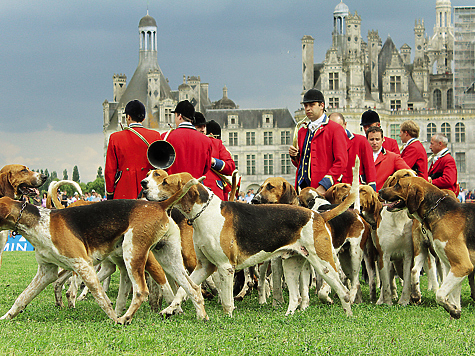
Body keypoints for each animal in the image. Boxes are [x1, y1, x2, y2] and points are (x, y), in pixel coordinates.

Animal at [0, 177, 206, 324]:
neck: (40, 222)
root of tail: (160, 204)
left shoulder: (83, 265)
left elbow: (101, 298)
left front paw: (114, 318)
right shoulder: (46, 272)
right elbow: (22, 298)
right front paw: (6, 318)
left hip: (133, 254)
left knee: (141, 291)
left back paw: (125, 319)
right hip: (168, 258)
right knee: (193, 288)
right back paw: (201, 316)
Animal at [141, 159, 360, 318]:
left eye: (165, 182)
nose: (144, 188)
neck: (204, 212)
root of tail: (318, 215)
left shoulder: (225, 267)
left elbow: (226, 300)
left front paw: (227, 318)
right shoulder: (204, 266)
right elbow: (185, 289)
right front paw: (170, 309)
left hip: (324, 264)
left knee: (343, 289)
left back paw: (348, 314)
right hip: (291, 264)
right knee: (296, 297)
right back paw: (289, 315)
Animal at [382, 177, 475, 318]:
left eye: (397, 185)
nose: (380, 191)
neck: (441, 211)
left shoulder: (463, 266)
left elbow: (440, 295)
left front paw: (452, 310)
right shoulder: (452, 267)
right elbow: (453, 297)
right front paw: (455, 311)